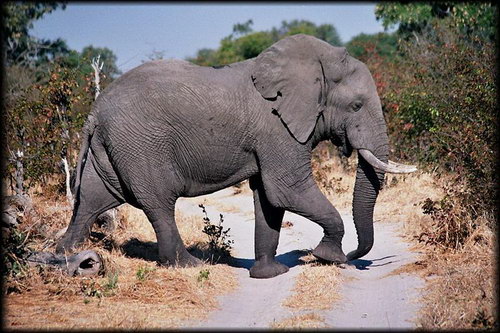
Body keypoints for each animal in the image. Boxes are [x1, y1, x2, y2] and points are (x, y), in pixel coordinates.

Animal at [55, 33, 414, 278]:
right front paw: (329, 257)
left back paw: (67, 254)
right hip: (140, 144)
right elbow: (286, 189)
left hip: (110, 147)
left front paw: (270, 274)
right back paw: (189, 265)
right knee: (158, 203)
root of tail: (95, 110)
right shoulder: (276, 128)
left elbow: (268, 198)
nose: (354, 256)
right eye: (356, 106)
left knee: (92, 200)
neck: (313, 64)